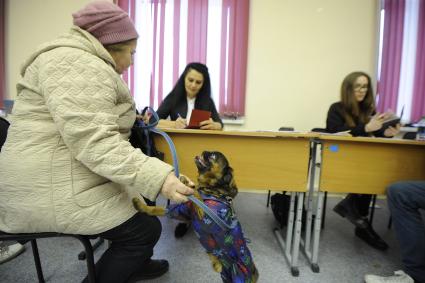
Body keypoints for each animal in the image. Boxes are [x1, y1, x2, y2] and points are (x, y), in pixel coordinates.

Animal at [132, 151, 258, 282]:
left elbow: (196, 194)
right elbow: (157, 209)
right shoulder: (180, 212)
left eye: (213, 156)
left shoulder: (205, 216)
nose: (204, 151)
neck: (211, 191)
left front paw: (186, 184)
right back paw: (216, 262)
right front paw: (142, 206)